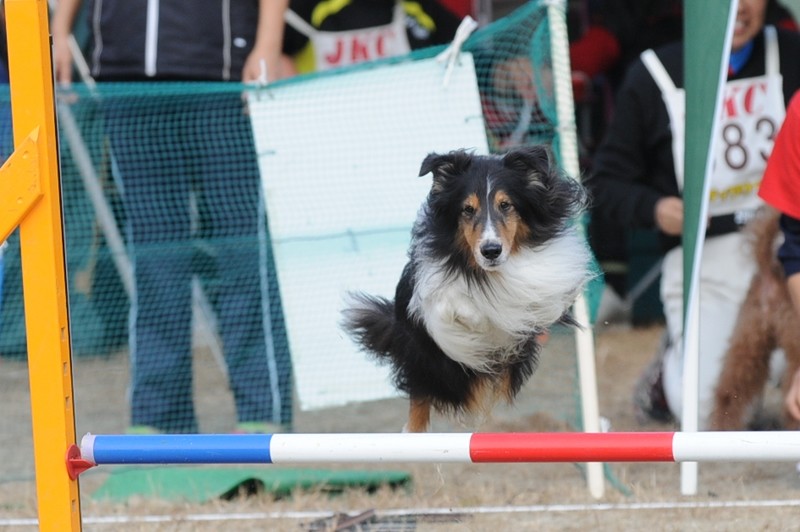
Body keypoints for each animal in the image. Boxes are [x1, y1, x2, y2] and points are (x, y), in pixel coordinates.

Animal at [342, 146, 593, 432]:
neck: (486, 274)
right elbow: (451, 305)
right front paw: (472, 317)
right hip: (422, 360)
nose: (491, 250)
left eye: (506, 205)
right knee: (420, 393)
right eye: (467, 209)